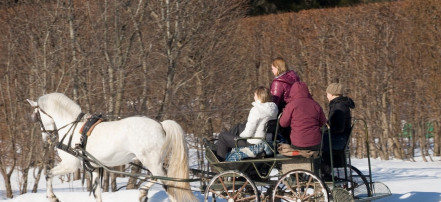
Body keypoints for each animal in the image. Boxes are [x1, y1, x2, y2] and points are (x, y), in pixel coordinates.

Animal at [28, 92, 197, 201]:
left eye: (36, 117)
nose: (46, 137)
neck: (73, 128)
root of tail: (161, 125)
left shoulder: (70, 165)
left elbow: (48, 174)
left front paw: (52, 197)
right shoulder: (94, 168)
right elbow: (97, 194)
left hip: (151, 161)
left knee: (167, 182)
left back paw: (143, 193)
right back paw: (143, 193)